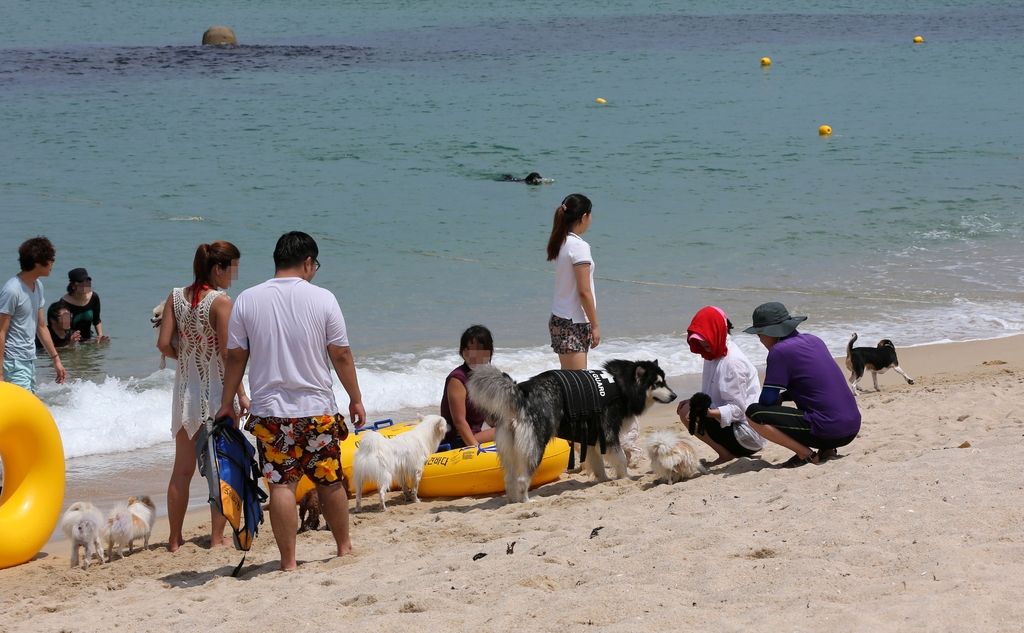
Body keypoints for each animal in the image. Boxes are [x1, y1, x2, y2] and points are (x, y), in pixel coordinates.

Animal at [468, 360, 675, 501]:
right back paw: (527, 501)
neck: (620, 384)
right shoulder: (608, 436)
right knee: (521, 480)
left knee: (509, 479)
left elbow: (598, 464)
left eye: (665, 381)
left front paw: (605, 480)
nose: (674, 396)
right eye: (657, 384)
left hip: (511, 451)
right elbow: (622, 460)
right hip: (535, 448)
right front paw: (627, 478)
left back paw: (514, 503)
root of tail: (522, 392)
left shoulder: (591, 438)